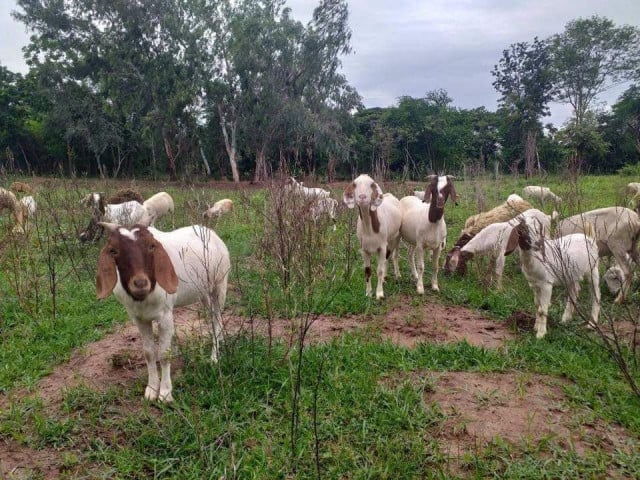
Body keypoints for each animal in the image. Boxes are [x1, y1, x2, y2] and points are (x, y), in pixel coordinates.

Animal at [97, 223, 230, 404]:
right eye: (114, 250)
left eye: (151, 246)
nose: (140, 283)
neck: (144, 298)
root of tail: (209, 231)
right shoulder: (139, 318)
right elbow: (149, 353)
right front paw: (151, 389)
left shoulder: (165, 315)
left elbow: (164, 354)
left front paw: (165, 393)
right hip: (202, 291)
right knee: (212, 316)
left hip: (220, 284)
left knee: (216, 318)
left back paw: (214, 357)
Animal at [342, 172, 402, 300]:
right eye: (354, 184)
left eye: (371, 184)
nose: (362, 197)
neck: (370, 229)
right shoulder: (364, 249)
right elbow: (367, 270)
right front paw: (368, 293)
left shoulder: (381, 247)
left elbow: (379, 270)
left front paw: (379, 294)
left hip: (396, 236)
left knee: (391, 255)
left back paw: (395, 275)